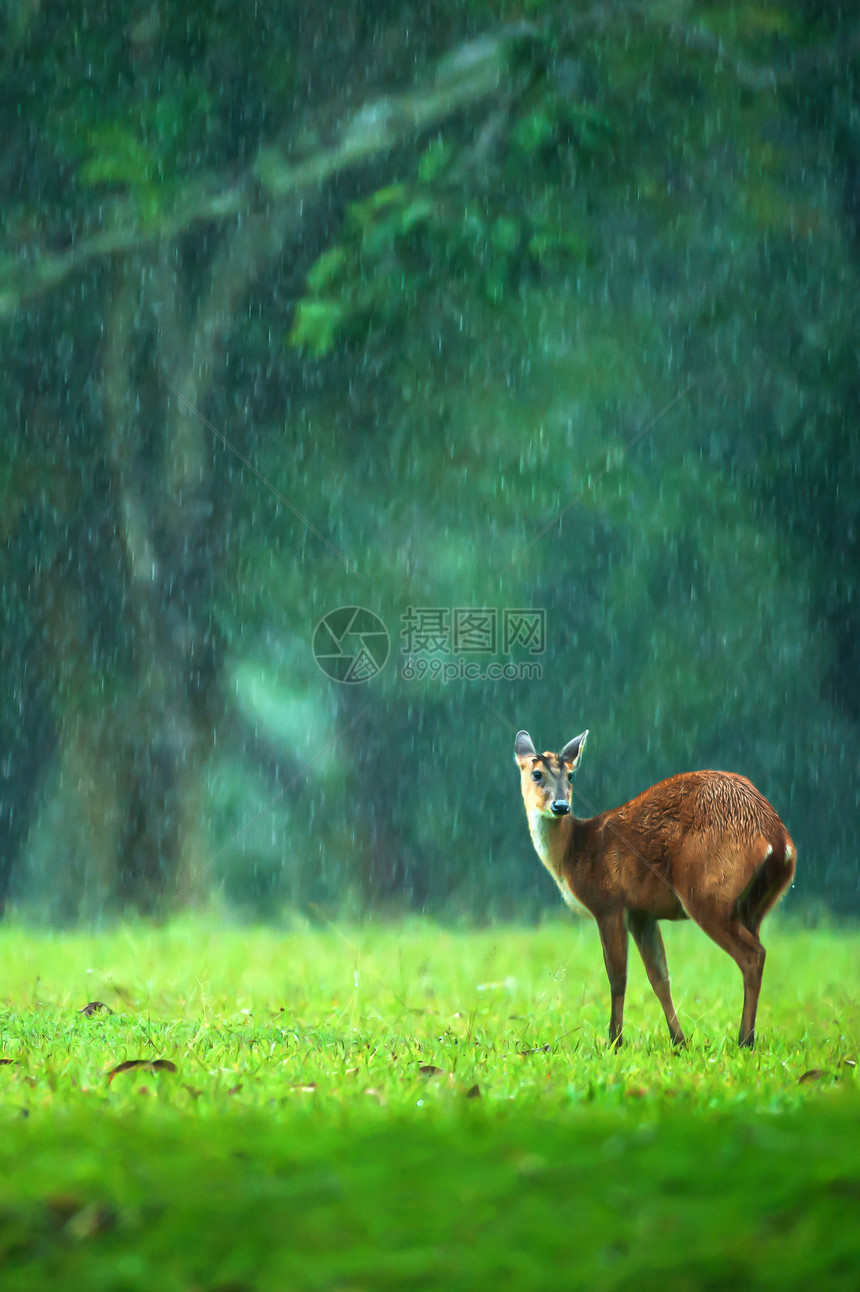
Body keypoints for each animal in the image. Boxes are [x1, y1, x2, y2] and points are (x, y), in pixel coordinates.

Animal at [511, 728, 795, 1049]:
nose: (561, 806)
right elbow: (659, 977)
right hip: (756, 904)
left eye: (571, 776)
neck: (576, 851)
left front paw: (614, 1041)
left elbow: (617, 976)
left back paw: (744, 1040)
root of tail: (776, 838)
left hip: (707, 894)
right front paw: (679, 1040)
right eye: (536, 774)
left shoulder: (609, 903)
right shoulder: (641, 912)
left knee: (752, 955)